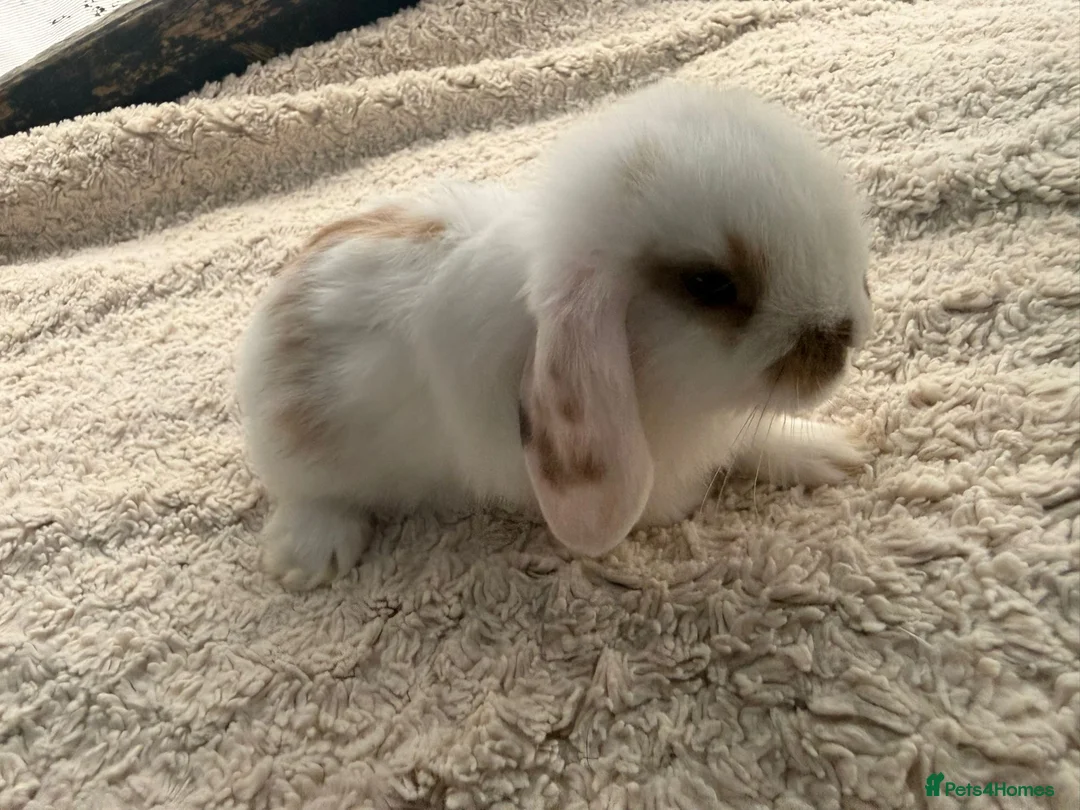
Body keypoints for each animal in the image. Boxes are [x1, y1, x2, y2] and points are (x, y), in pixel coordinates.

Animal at [236, 80, 875, 590]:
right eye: (709, 285)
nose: (845, 336)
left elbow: (752, 440)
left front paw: (833, 452)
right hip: (306, 454)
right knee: (305, 494)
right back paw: (307, 558)